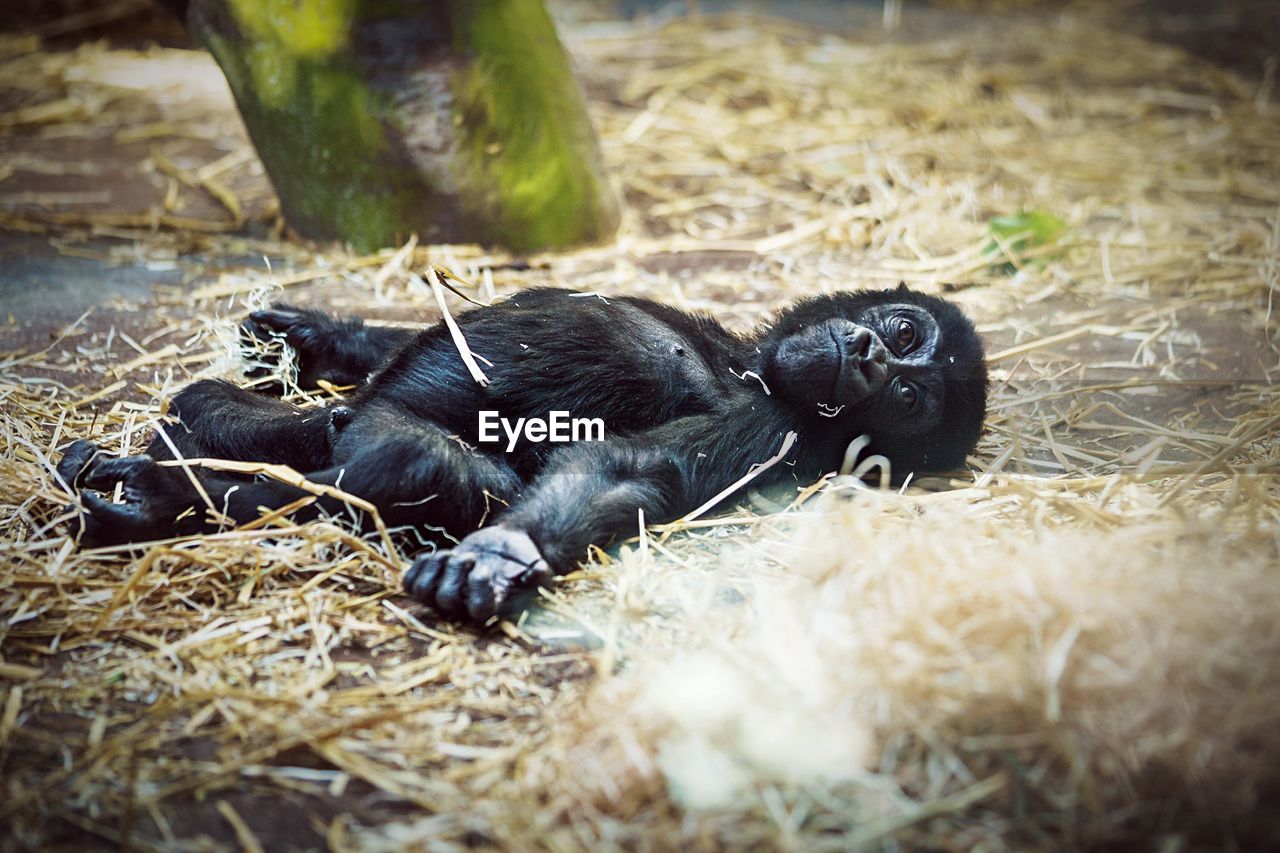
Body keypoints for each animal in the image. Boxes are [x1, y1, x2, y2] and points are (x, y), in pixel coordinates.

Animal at [57, 281, 988, 622]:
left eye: (910, 400)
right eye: (905, 333)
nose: (871, 355)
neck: (749, 363)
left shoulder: (766, 432)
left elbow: (624, 471)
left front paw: (501, 553)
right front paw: (317, 335)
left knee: (407, 461)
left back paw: (159, 495)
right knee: (215, 404)